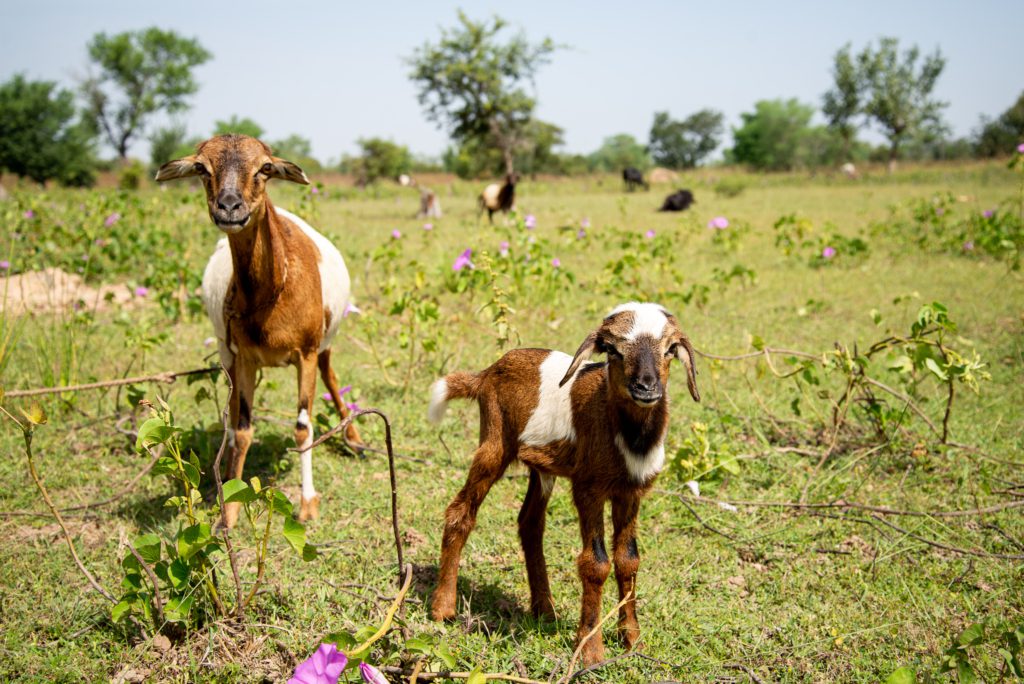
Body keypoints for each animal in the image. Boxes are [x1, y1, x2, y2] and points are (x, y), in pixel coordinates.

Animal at [155, 135, 364, 528]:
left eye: (265, 168)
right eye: (202, 167)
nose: (229, 206)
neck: (273, 291)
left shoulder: (306, 353)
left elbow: (302, 426)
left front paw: (308, 502)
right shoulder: (245, 358)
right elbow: (242, 430)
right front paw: (229, 509)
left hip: (324, 343)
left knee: (331, 375)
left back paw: (354, 439)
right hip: (228, 355)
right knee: (232, 410)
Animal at [428, 301, 700, 663]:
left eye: (670, 349)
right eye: (612, 349)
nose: (646, 387)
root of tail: (486, 373)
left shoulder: (630, 492)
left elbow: (628, 560)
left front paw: (632, 641)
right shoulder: (589, 487)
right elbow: (595, 562)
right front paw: (591, 651)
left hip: (541, 467)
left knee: (530, 523)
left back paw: (544, 609)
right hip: (494, 443)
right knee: (461, 512)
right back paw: (443, 607)